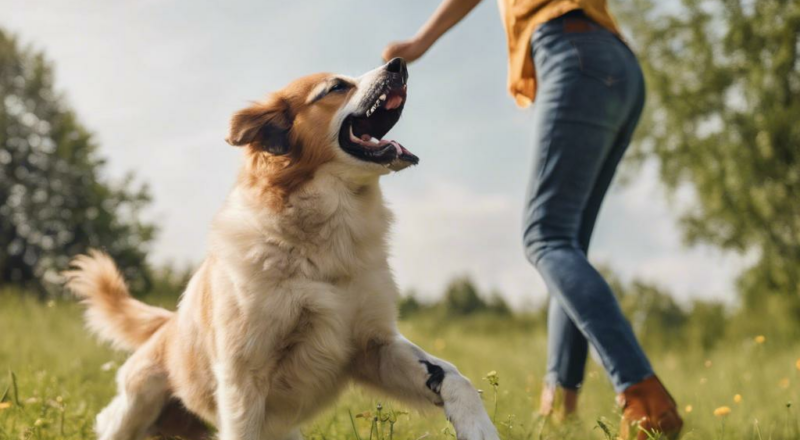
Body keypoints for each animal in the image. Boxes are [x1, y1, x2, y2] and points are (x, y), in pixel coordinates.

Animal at [64, 58, 500, 440]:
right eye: (337, 87)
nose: (399, 64)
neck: (325, 239)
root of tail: (167, 324)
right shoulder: (245, 375)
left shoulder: (374, 344)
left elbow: (451, 375)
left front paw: (478, 428)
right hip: (138, 400)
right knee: (110, 420)